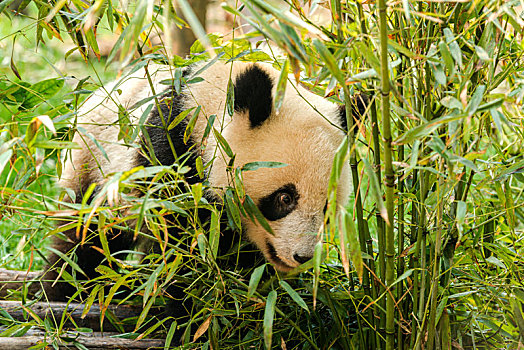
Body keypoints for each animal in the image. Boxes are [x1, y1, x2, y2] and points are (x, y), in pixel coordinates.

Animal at [43, 60, 362, 306]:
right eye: (285, 198)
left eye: (327, 208)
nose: (302, 256)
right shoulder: (169, 152)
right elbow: (181, 240)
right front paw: (191, 306)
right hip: (94, 166)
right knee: (85, 238)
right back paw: (69, 289)